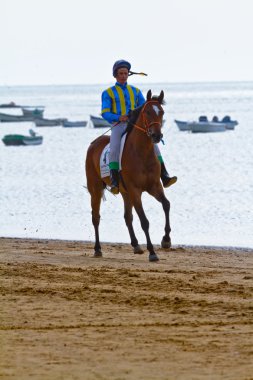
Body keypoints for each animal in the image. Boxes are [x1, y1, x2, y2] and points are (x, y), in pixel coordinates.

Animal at [85, 89, 172, 262]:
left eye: (162, 112)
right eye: (147, 112)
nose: (156, 136)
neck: (141, 153)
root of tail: (94, 144)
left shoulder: (154, 186)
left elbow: (166, 204)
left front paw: (166, 240)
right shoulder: (135, 190)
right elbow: (144, 221)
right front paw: (152, 252)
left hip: (125, 193)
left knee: (127, 217)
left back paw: (136, 245)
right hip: (95, 189)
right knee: (96, 217)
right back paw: (97, 249)